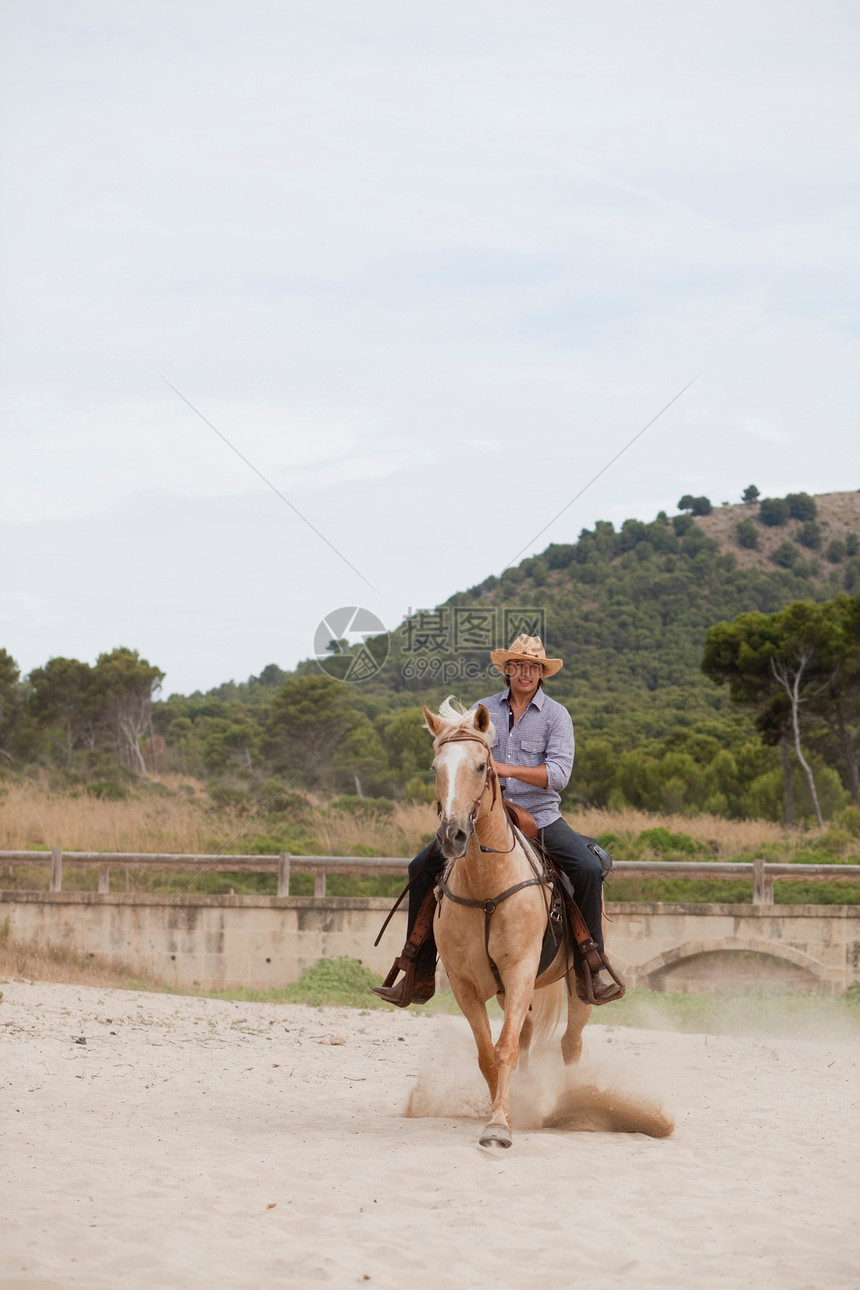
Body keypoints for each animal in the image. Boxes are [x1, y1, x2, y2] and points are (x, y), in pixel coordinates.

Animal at [420, 696, 587, 1150]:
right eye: (435, 767)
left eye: (482, 766)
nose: (453, 835)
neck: (486, 889)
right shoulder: (465, 982)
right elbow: (487, 1053)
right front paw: (505, 1111)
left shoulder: (521, 969)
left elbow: (506, 1047)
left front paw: (498, 1125)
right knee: (528, 1035)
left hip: (577, 980)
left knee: (571, 1042)